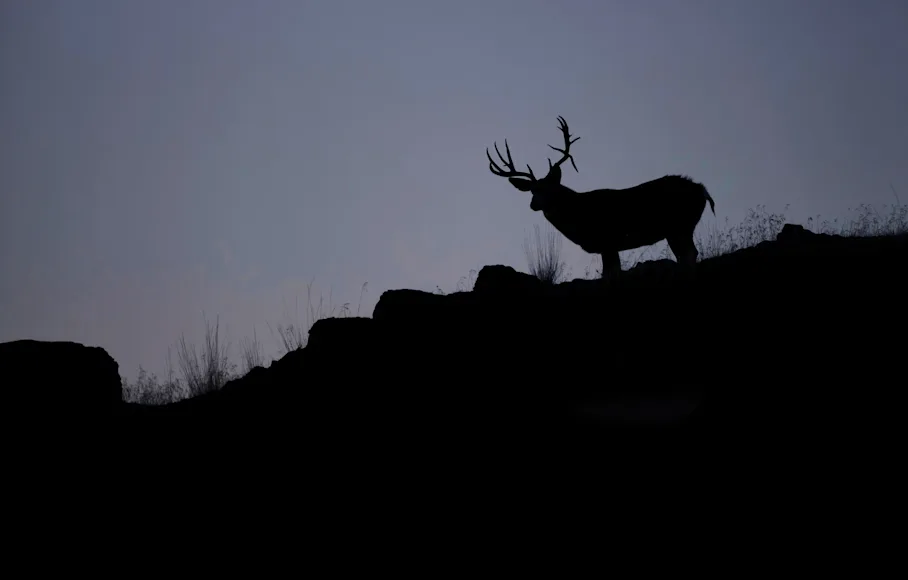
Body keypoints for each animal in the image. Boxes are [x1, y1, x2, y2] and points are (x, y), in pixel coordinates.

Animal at [486, 116, 716, 278]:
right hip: (678, 228)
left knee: (689, 255)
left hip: (680, 224)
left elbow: (610, 274)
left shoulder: (608, 240)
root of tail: (702, 189)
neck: (580, 216)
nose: (533, 204)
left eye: (550, 187)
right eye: (533, 190)